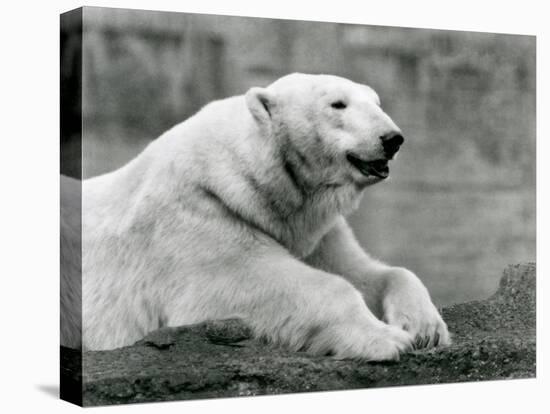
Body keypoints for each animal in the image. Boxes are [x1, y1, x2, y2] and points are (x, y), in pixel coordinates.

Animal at [62, 73, 450, 360]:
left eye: (377, 103)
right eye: (338, 104)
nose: (392, 138)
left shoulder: (313, 233)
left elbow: (362, 271)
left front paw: (424, 327)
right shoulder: (199, 217)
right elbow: (254, 280)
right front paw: (387, 339)